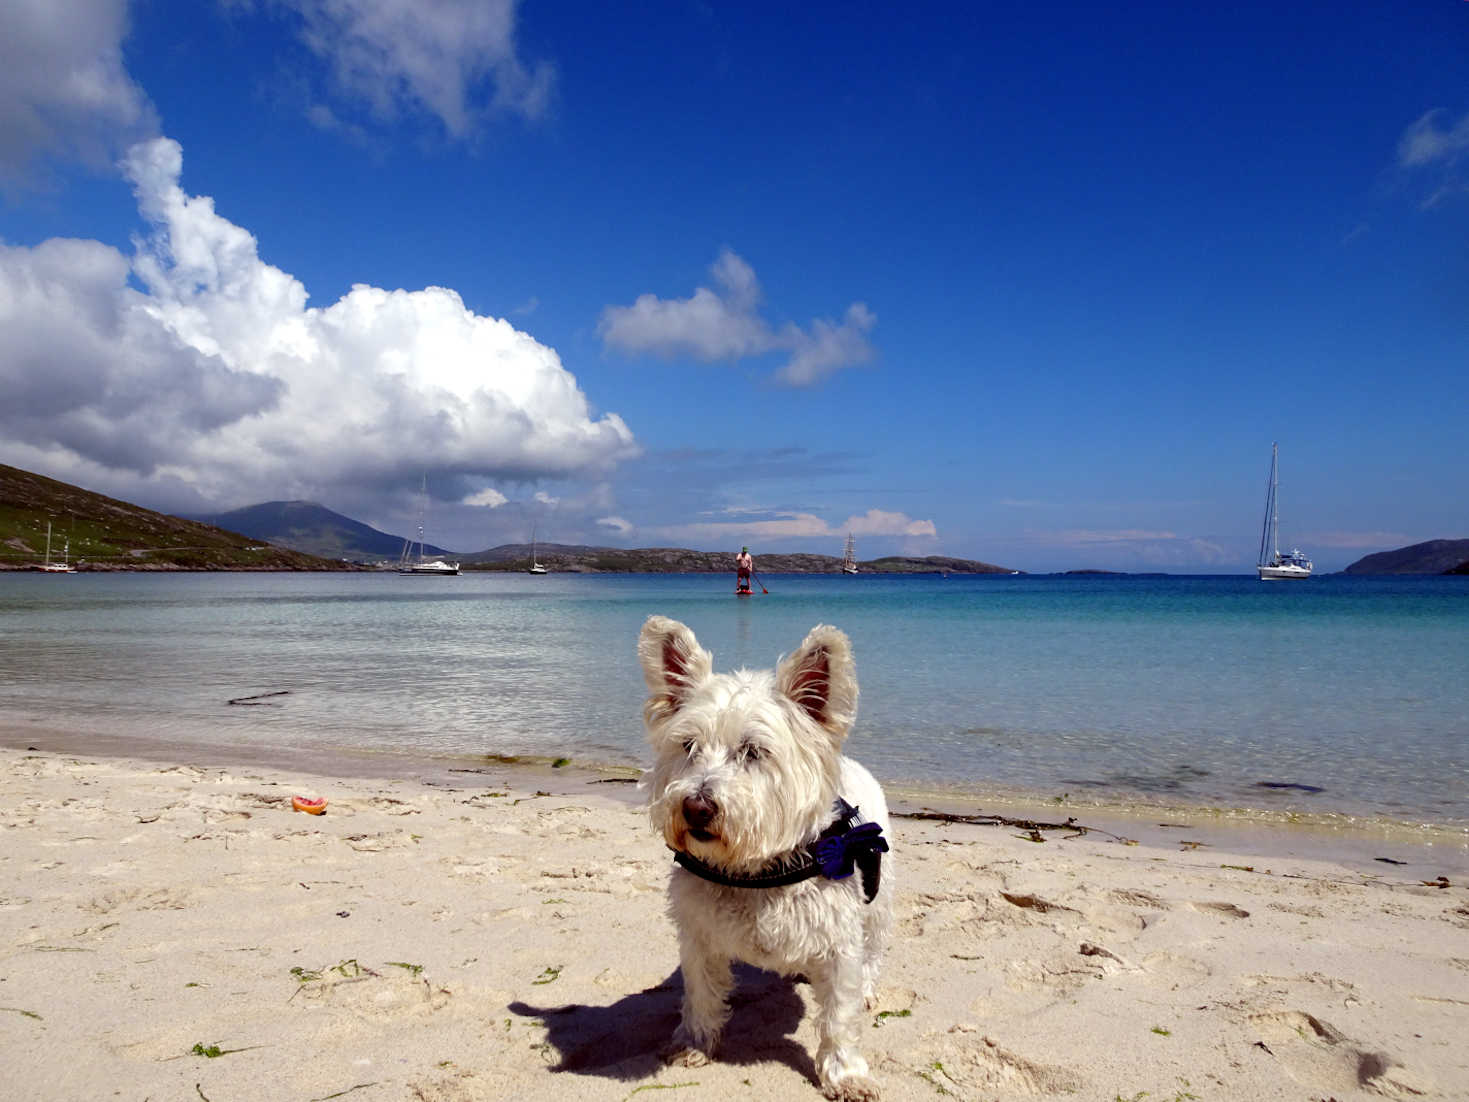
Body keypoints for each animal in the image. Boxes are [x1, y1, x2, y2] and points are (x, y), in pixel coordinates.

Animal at [637, 617, 887, 1099]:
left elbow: (839, 1017)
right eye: (688, 746)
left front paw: (845, 1074)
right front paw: (695, 1043)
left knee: (874, 950)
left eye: (753, 751)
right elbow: (701, 993)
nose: (696, 808)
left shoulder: (839, 944)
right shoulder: (698, 936)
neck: (755, 871)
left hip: (879, 904)